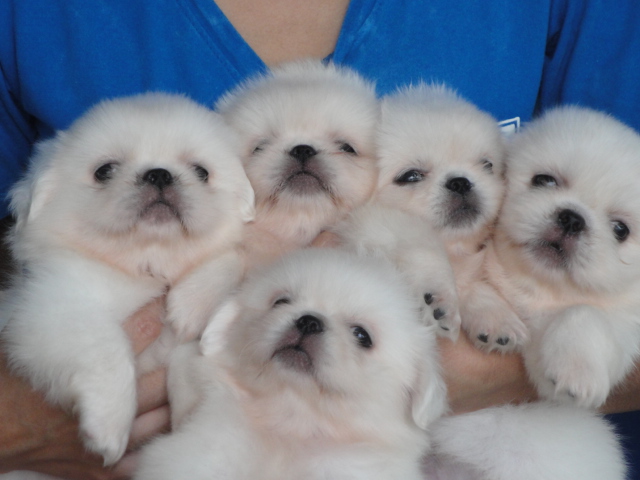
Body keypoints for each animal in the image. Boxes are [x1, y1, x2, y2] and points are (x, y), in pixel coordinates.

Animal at [0, 92, 254, 466]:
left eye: (201, 172)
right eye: (104, 171)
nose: (159, 174)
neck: (145, 264)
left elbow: (230, 260)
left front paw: (191, 303)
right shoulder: (54, 310)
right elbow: (109, 350)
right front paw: (108, 428)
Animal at [373, 83, 525, 351]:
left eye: (487, 165)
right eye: (410, 176)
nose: (460, 182)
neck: (453, 248)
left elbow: (472, 285)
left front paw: (496, 317)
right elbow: (424, 251)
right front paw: (436, 297)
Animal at [481, 106, 640, 408]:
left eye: (620, 230)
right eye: (544, 180)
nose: (572, 219)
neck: (540, 291)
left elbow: (584, 312)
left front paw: (576, 372)